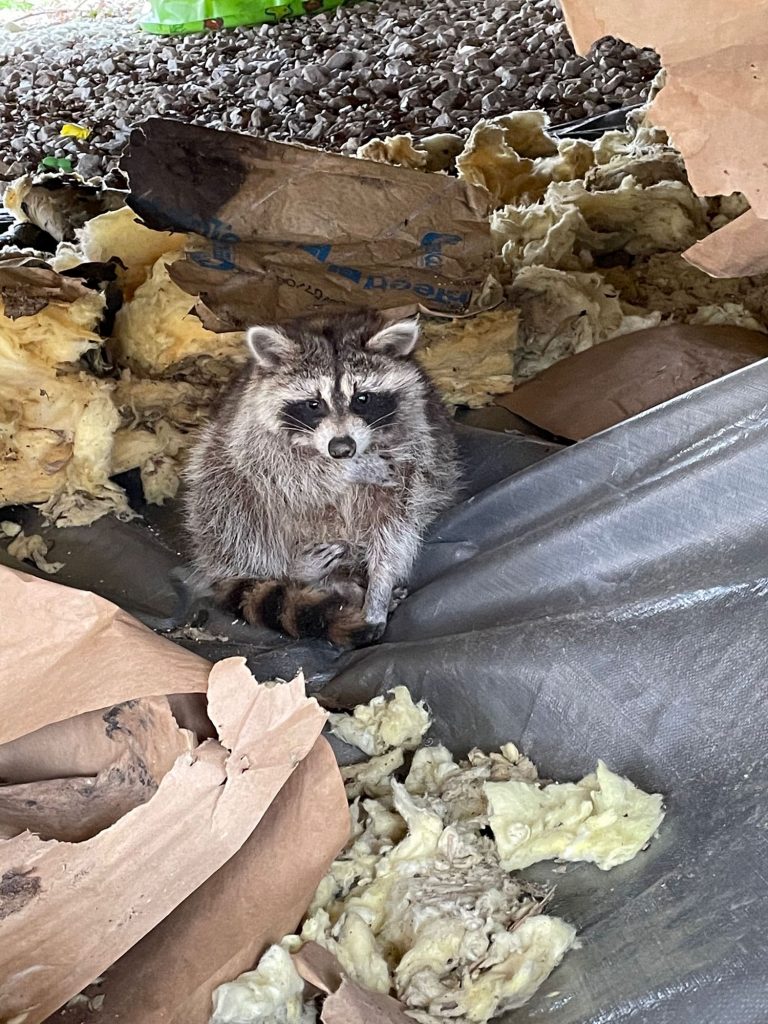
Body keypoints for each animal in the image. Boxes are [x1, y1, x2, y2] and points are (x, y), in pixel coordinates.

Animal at [185, 307, 462, 647]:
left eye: (362, 399)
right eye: (313, 404)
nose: (342, 449)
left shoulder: (419, 440)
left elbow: (395, 526)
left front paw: (379, 587)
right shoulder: (249, 429)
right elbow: (283, 470)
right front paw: (350, 469)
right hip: (217, 470)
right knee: (229, 500)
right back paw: (296, 571)